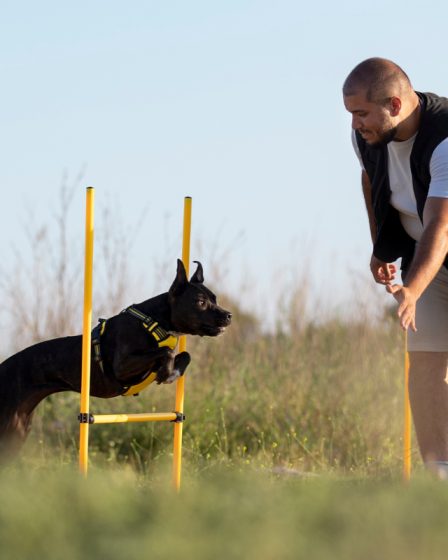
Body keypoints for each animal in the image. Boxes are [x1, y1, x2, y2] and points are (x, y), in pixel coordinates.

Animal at [0, 262, 231, 456]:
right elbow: (167, 352)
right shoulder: (121, 367)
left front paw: (172, 372)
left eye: (215, 299)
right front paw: (165, 372)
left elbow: (184, 355)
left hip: (16, 433)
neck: (155, 321)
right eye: (200, 302)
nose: (229, 315)